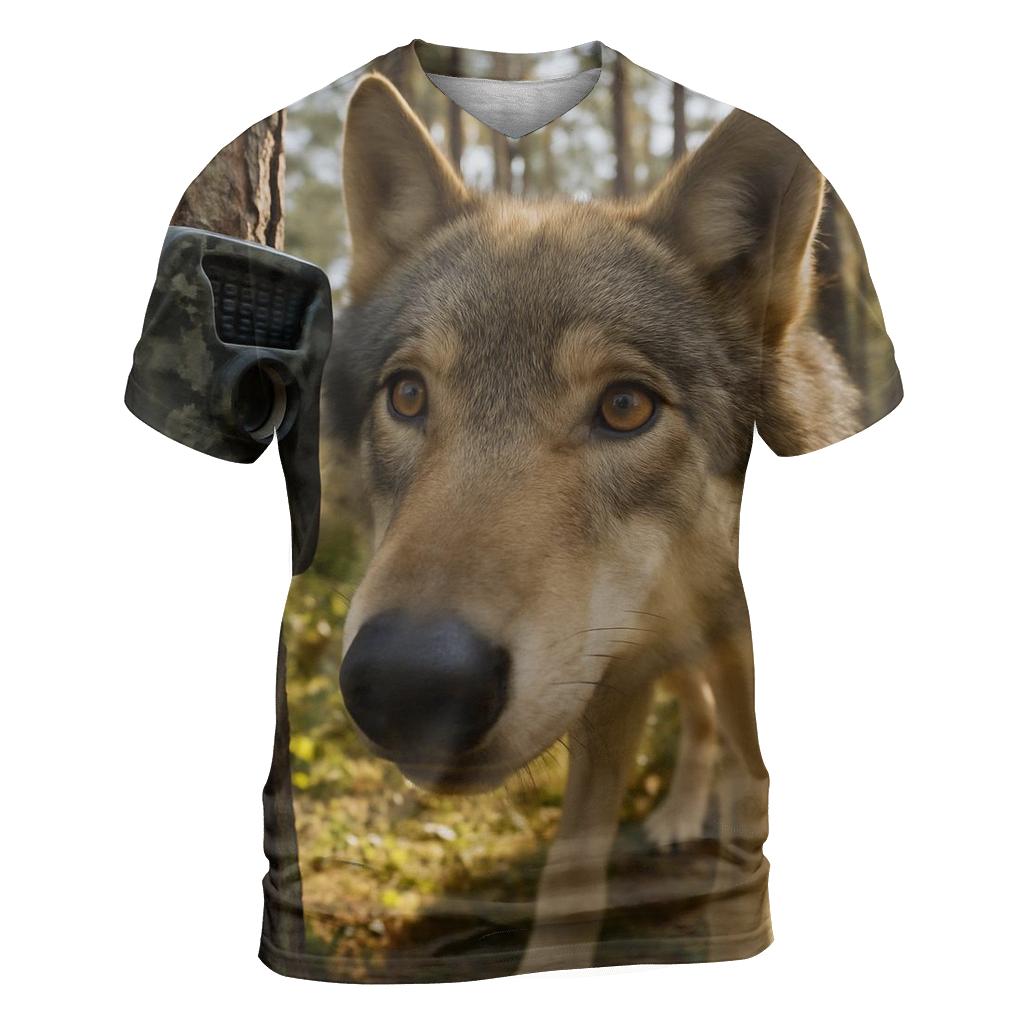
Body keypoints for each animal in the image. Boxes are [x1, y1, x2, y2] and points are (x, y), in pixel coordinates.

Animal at [322, 73, 861, 974]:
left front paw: (737, 922)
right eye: (408, 395)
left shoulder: (722, 655)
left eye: (625, 406)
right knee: (701, 718)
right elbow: (574, 869)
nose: (409, 685)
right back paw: (679, 816)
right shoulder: (612, 687)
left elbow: (754, 788)